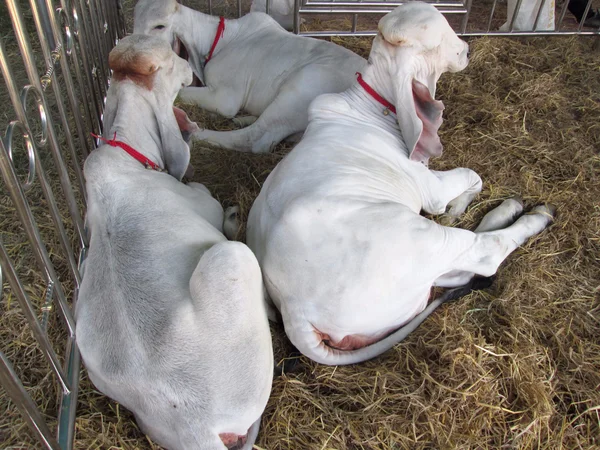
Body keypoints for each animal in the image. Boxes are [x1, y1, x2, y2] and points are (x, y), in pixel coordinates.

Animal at [76, 35, 274, 450]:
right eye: (170, 60)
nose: (190, 71)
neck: (126, 155)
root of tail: (196, 426)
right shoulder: (201, 199)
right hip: (230, 258)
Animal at [132, 0, 366, 153]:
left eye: (159, 26)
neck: (223, 40)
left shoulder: (225, 98)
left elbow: (184, 92)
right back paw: (242, 119)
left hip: (303, 86)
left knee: (254, 139)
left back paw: (196, 134)